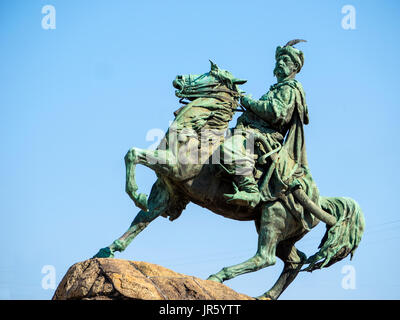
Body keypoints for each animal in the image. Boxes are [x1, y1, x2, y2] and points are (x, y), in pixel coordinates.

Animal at [93, 62, 362, 300]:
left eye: (211, 72)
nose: (178, 78)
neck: (196, 134)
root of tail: (317, 198)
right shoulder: (167, 190)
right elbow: (142, 220)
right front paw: (109, 249)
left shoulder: (173, 167)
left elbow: (132, 154)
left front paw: (135, 194)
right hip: (281, 231)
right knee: (295, 261)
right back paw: (265, 295)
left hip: (273, 218)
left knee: (265, 257)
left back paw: (218, 276)